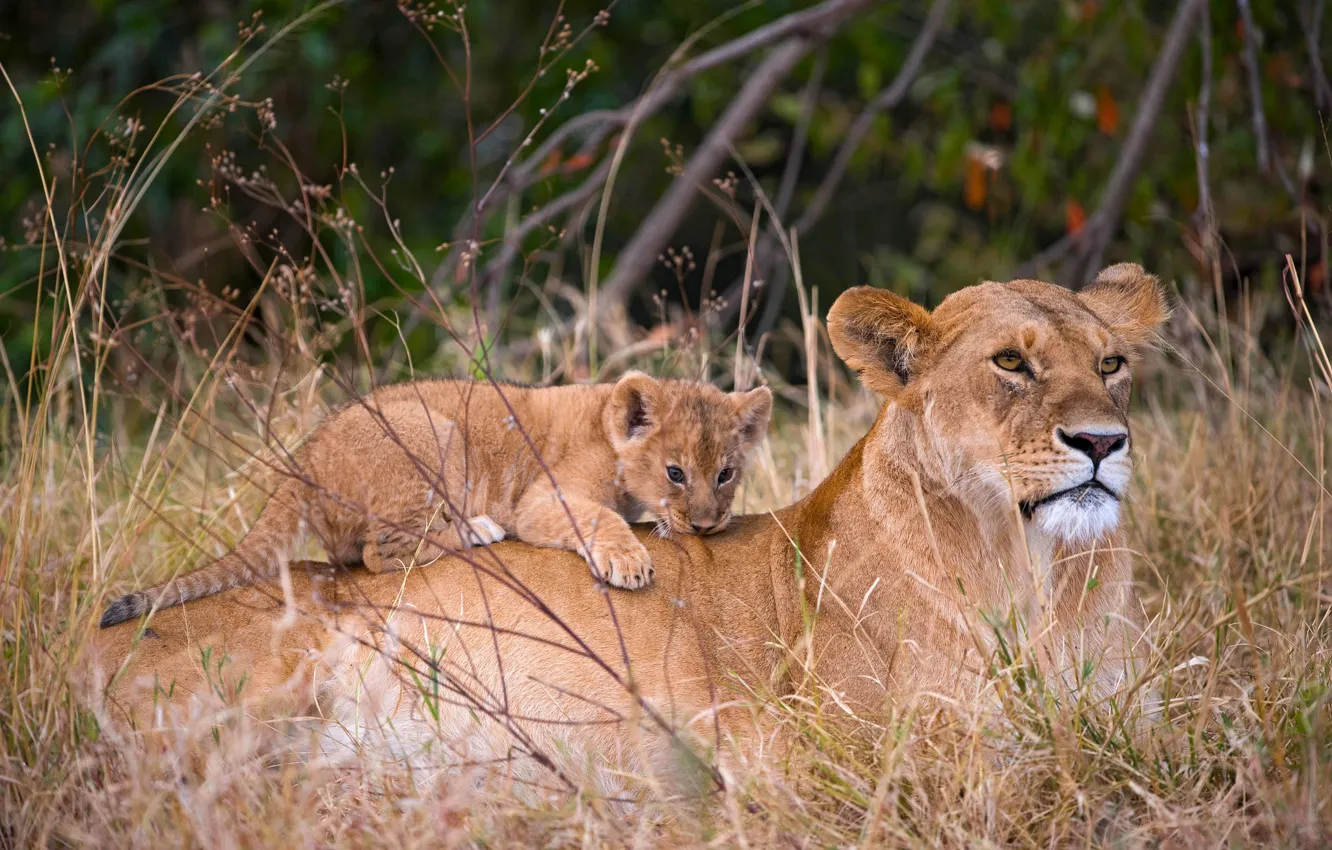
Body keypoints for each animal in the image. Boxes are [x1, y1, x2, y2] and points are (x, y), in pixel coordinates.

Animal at [99, 372, 774, 626]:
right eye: (676, 472)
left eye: (726, 474)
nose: (707, 526)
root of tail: (304, 456)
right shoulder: (543, 500)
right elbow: (599, 516)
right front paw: (629, 559)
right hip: (433, 432)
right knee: (382, 554)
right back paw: (476, 530)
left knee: (355, 555)